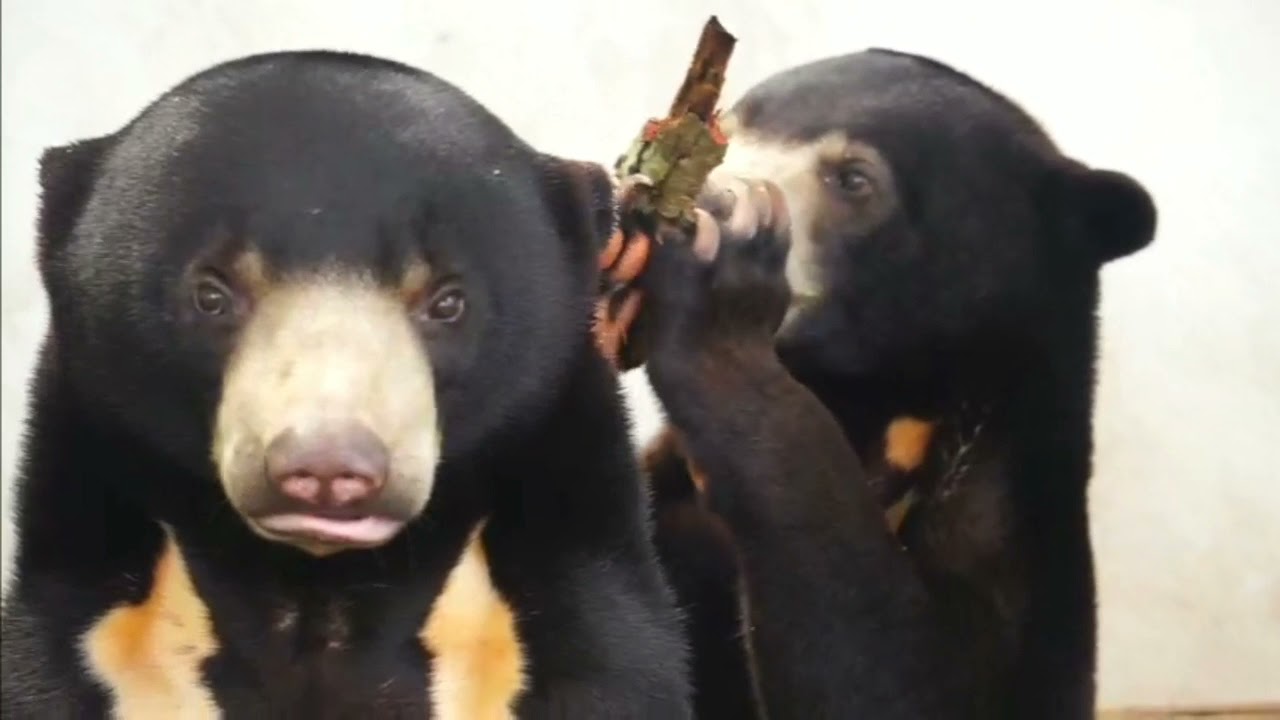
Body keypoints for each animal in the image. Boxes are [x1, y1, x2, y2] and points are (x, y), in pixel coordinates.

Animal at [595, 48, 1158, 719]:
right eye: (725, 130)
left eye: (855, 179)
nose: (711, 201)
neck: (868, 400)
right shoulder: (667, 510)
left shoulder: (1012, 538)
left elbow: (897, 675)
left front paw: (718, 284)